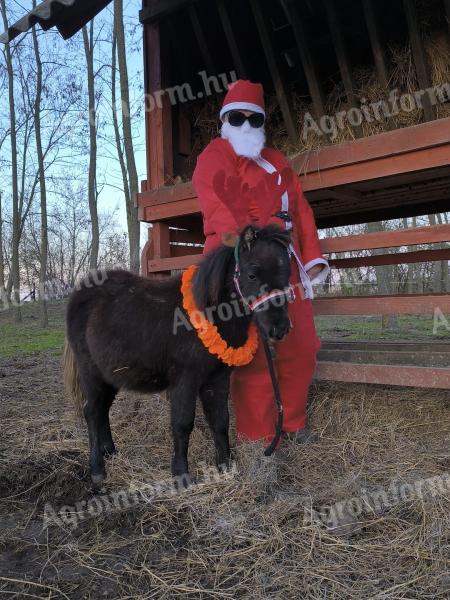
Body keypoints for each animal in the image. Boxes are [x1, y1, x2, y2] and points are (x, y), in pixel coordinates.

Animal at [65, 224, 294, 488]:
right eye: (252, 274)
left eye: (287, 274)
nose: (280, 329)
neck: (209, 312)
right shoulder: (185, 380)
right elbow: (183, 424)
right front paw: (181, 475)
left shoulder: (217, 379)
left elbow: (220, 421)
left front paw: (225, 467)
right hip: (90, 371)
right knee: (92, 412)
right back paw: (97, 470)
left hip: (110, 375)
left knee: (103, 410)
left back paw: (110, 452)